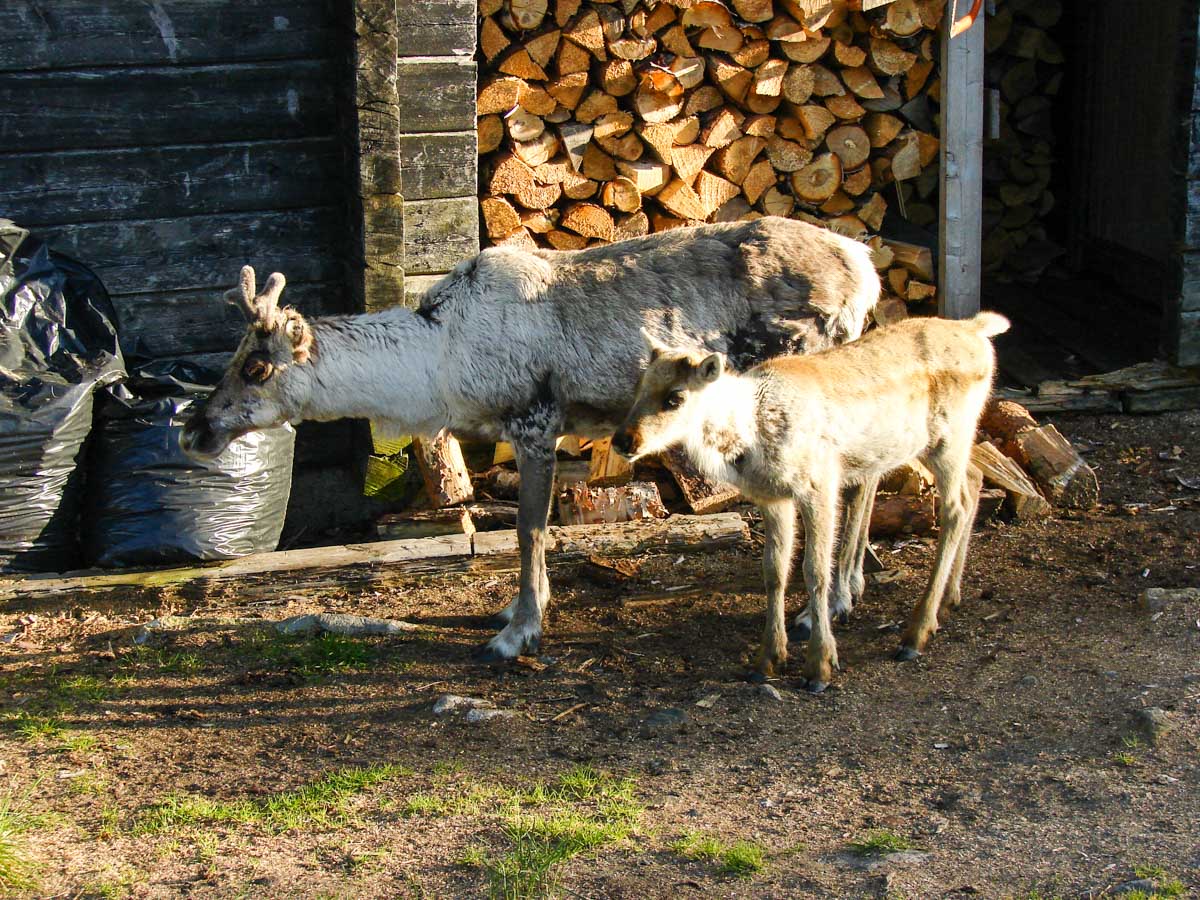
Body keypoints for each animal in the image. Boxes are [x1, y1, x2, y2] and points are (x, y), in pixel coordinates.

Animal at [614, 309, 1008, 691]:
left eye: (675, 397)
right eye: (639, 387)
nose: (622, 440)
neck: (752, 434)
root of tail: (978, 330)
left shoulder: (819, 483)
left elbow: (815, 571)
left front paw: (820, 667)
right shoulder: (772, 497)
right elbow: (774, 571)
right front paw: (768, 659)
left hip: (949, 436)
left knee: (955, 508)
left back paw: (916, 633)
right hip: (944, 443)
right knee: (975, 480)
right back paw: (951, 597)